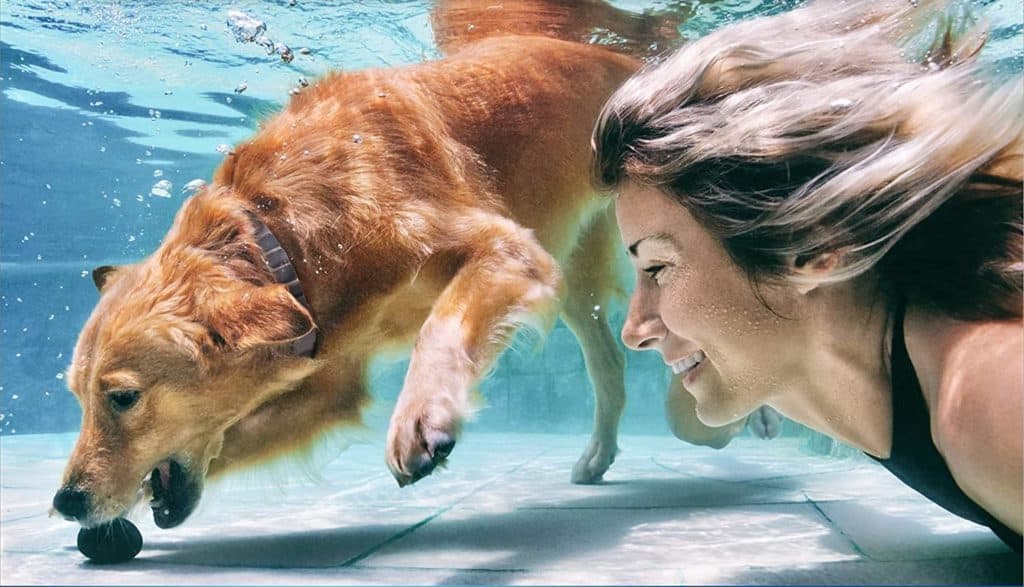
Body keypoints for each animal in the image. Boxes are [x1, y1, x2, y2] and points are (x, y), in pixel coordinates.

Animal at [54, 0, 679, 528]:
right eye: (77, 397)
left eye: (123, 398)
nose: (65, 502)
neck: (283, 235)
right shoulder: (330, 376)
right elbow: (238, 432)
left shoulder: (504, 248)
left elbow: (441, 323)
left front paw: (422, 417)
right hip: (577, 277)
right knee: (610, 366)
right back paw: (597, 455)